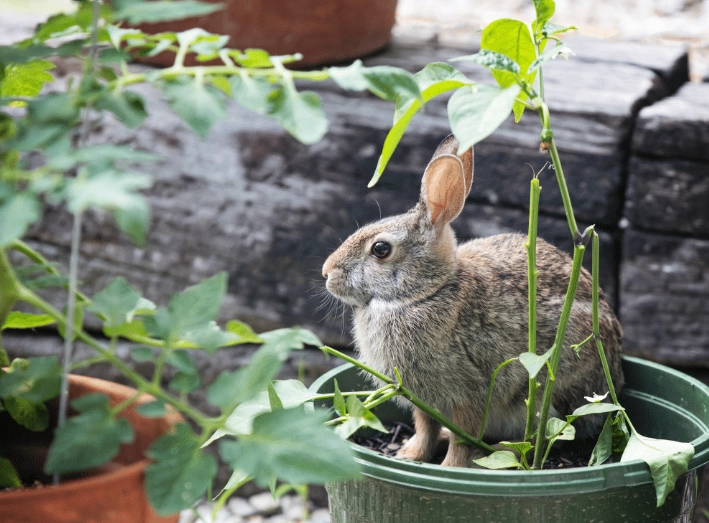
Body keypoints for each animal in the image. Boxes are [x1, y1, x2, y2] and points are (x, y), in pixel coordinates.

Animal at [322, 134, 624, 468]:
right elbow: (425, 427)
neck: (425, 292)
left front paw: (449, 467)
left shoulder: (471, 393)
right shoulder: (423, 399)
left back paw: (497, 452)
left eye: (380, 249)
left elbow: (462, 436)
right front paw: (410, 455)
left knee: (546, 437)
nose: (326, 273)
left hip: (551, 389)